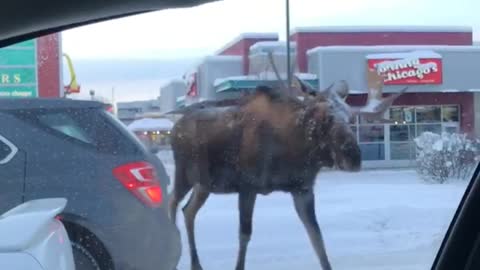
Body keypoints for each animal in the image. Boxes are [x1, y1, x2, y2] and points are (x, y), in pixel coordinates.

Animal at [167, 63, 406, 270]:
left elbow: (317, 237)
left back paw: (196, 264)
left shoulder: (302, 189)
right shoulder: (248, 186)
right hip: (184, 174)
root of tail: (174, 128)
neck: (293, 151)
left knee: (188, 211)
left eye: (349, 118)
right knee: (172, 202)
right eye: (323, 118)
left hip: (204, 184)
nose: (354, 157)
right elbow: (244, 234)